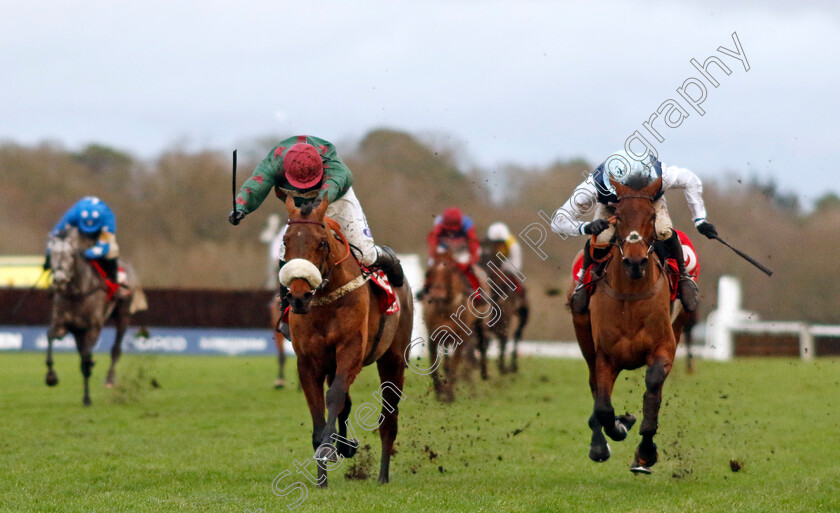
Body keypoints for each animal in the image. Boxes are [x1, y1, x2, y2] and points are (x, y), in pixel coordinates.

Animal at [282, 195, 414, 484]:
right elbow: (320, 410)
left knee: (389, 419)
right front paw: (322, 476)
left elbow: (334, 396)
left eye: (321, 242)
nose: (298, 296)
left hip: (393, 360)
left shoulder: (351, 350)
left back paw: (382, 476)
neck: (325, 301)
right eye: (285, 241)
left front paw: (329, 448)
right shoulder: (308, 361)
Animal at [424, 247, 482, 400]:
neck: (445, 309)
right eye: (431, 270)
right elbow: (433, 366)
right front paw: (439, 391)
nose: (437, 294)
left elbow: (454, 367)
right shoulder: (433, 337)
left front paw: (449, 394)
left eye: (451, 269)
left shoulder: (460, 339)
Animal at [476, 238, 528, 374]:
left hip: (523, 315)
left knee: (516, 336)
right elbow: (483, 342)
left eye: (492, 255)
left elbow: (503, 338)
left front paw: (501, 366)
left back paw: (512, 365)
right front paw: (483, 369)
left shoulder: (505, 316)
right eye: (480, 255)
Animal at [572, 175, 688, 472]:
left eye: (651, 215)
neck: (631, 296)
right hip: (585, 340)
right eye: (620, 216)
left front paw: (645, 451)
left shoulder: (664, 346)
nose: (635, 261)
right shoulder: (605, 356)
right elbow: (603, 406)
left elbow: (653, 387)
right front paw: (618, 427)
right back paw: (600, 442)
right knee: (595, 390)